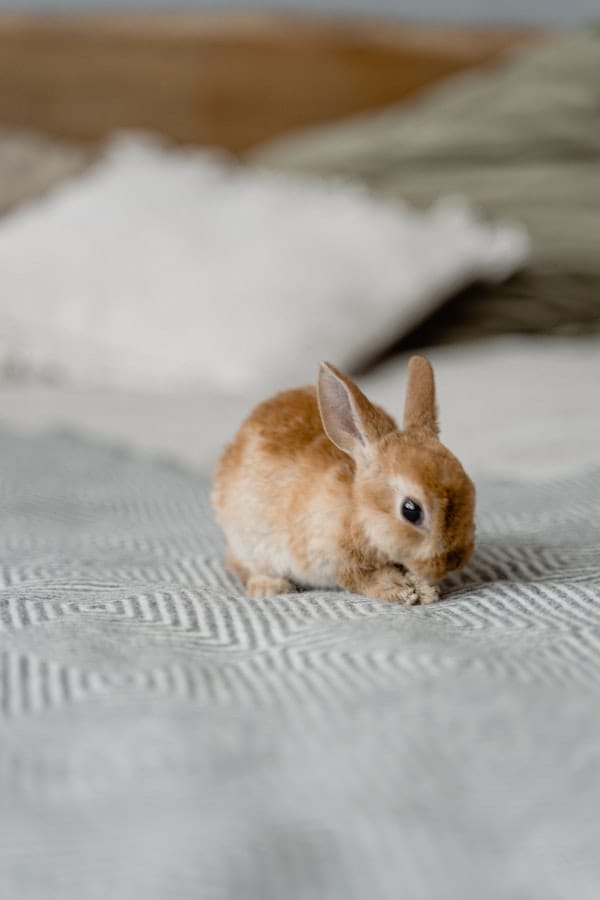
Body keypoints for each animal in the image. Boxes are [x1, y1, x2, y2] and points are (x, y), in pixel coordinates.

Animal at [213, 356, 476, 604]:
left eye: (471, 490)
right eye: (411, 510)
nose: (453, 561)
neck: (358, 510)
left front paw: (426, 589)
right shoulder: (336, 561)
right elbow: (367, 579)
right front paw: (404, 592)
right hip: (248, 542)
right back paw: (272, 587)